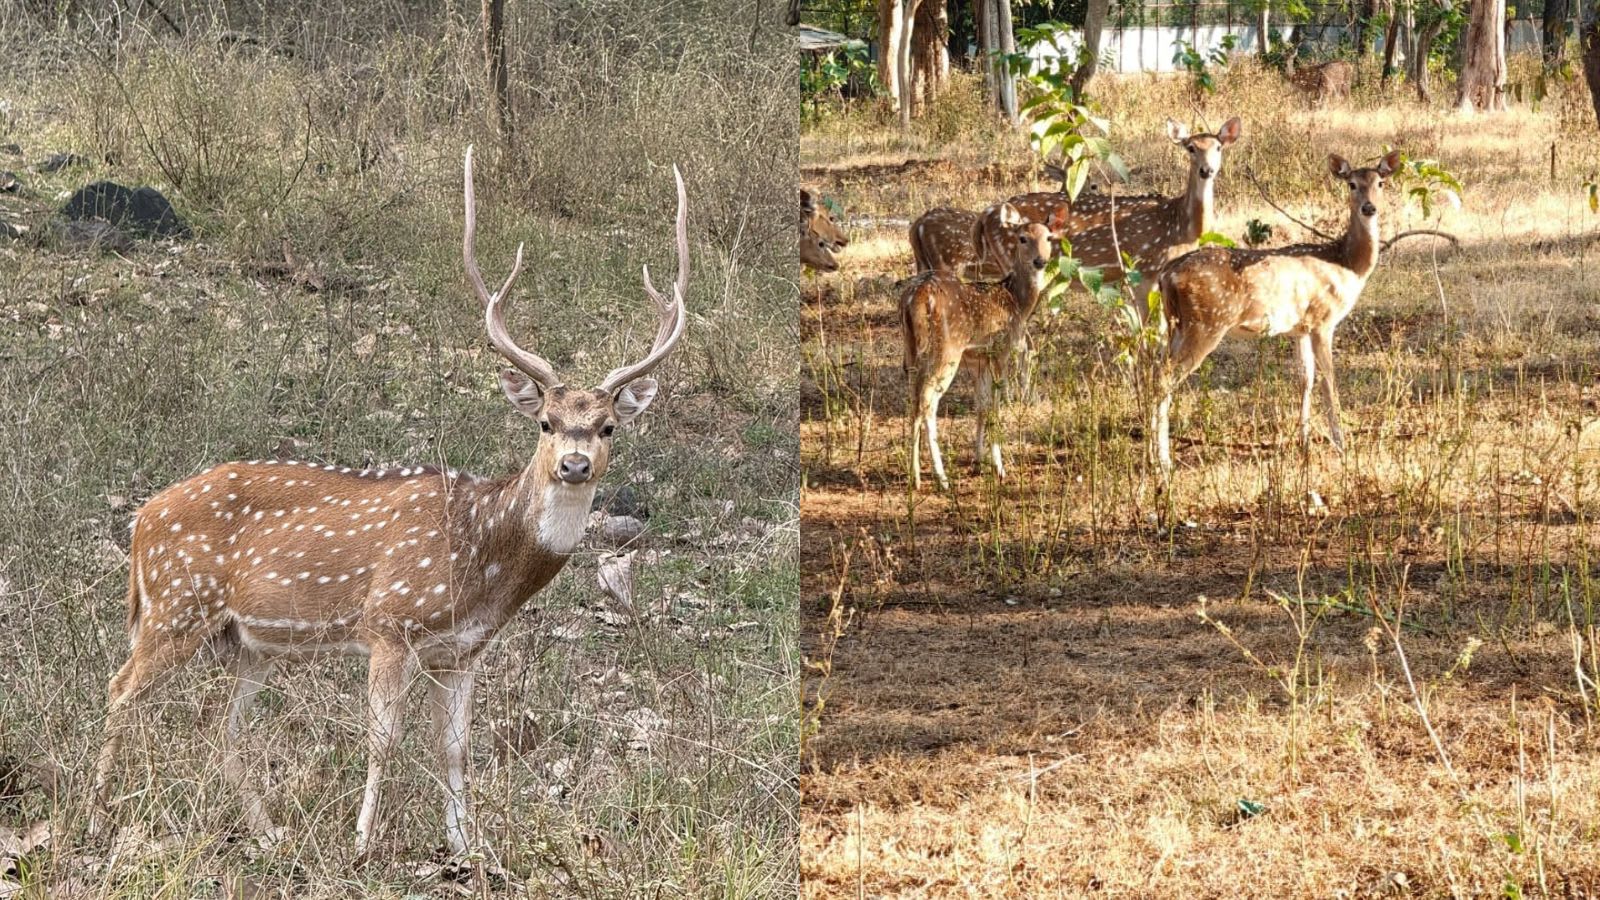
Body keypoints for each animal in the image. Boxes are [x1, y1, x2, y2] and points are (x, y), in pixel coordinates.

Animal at [89, 146, 689, 858]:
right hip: (177, 604)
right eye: (545, 421)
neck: (481, 557)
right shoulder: (388, 622)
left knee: (220, 725)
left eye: (608, 427)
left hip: (246, 641)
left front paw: (466, 849)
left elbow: (456, 751)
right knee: (120, 688)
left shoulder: (462, 652)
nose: (574, 464)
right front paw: (362, 841)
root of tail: (142, 520)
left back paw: (267, 831)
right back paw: (92, 814)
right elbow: (383, 740)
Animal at [901, 204, 1068, 490]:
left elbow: (981, 405)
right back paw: (939, 477)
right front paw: (999, 467)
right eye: (1022, 238)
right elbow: (995, 407)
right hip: (947, 349)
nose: (1040, 261)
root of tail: (915, 297)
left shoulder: (976, 358)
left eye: (1049, 237)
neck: (1016, 301)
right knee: (928, 402)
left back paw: (918, 476)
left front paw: (978, 460)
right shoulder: (1000, 350)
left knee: (914, 399)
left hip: (912, 348)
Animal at [1149, 149, 1400, 473]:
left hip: (1176, 325)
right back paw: (1164, 459)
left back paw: (1152, 451)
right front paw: (1341, 444)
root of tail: (1166, 276)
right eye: (1352, 184)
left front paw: (1304, 441)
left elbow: (1305, 378)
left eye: (1381, 182)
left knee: (1155, 370)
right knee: (1165, 377)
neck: (1347, 265)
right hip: (1205, 323)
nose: (1369, 208)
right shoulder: (1323, 319)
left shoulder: (1300, 327)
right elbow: (1329, 380)